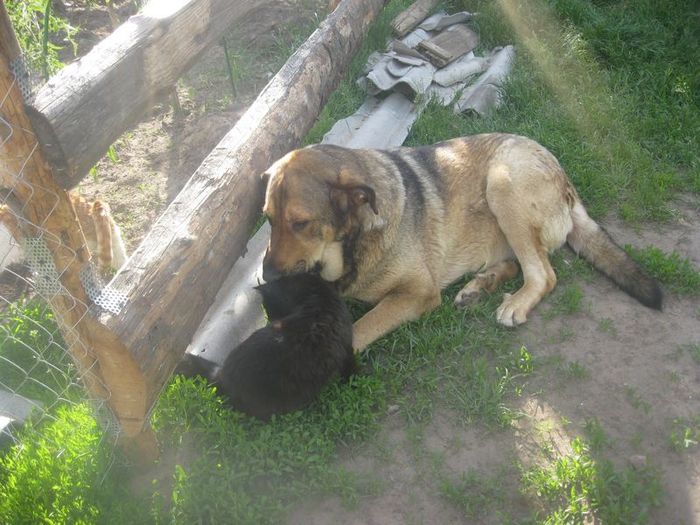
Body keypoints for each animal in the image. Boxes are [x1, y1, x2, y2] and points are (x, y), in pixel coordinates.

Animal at [261, 133, 662, 352]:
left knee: (544, 273)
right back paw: (479, 286)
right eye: (267, 219)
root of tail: (565, 180)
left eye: (300, 223)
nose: (266, 277)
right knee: (522, 261)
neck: (355, 240)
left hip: (503, 181)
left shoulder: (417, 293)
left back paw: (514, 302)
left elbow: (360, 327)